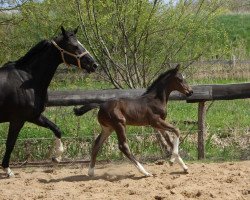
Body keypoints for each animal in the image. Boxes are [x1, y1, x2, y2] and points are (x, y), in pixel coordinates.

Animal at [0, 26, 97, 177]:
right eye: (74, 46)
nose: (94, 65)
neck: (26, 80)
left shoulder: (34, 116)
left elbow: (56, 129)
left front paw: (56, 157)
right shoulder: (17, 119)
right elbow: (10, 143)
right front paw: (7, 169)